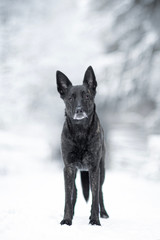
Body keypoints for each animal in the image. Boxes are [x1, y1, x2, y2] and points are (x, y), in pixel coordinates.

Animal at [56, 65, 109, 225]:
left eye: (87, 96)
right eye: (70, 98)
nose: (79, 110)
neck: (80, 132)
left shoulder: (94, 168)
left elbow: (95, 196)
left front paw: (95, 220)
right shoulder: (68, 168)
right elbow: (68, 197)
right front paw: (67, 219)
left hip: (102, 170)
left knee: (99, 193)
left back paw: (103, 213)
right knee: (74, 191)